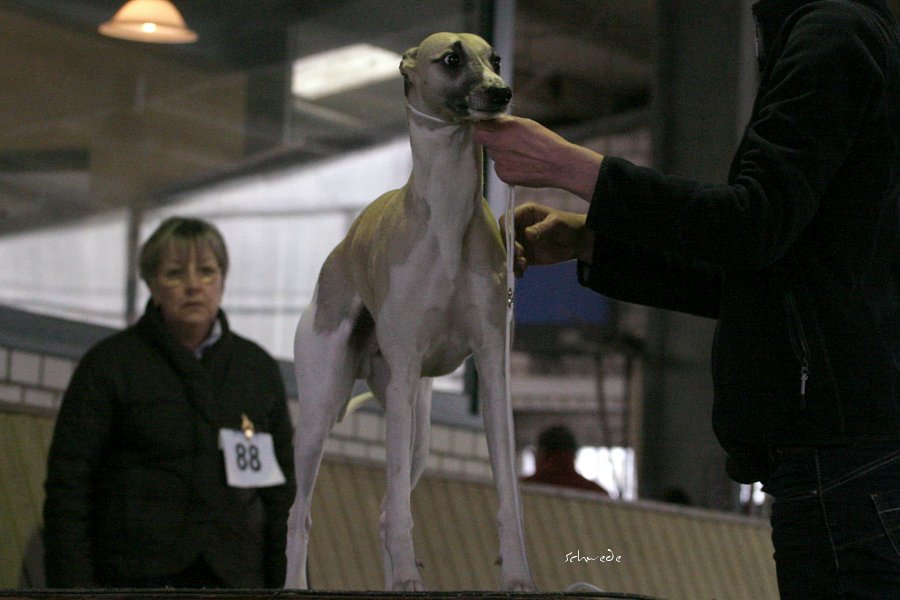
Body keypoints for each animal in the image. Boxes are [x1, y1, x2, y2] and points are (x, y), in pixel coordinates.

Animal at [284, 32, 536, 592]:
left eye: (496, 58)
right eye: (451, 59)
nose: (502, 92)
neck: (445, 217)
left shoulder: (493, 371)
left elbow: (508, 497)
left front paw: (517, 574)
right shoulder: (402, 371)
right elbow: (400, 507)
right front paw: (405, 574)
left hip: (418, 429)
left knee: (383, 507)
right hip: (320, 410)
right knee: (302, 511)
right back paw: (295, 583)